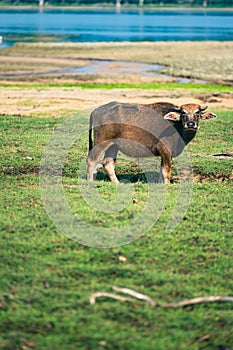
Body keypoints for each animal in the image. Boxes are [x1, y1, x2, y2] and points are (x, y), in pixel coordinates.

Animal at [87, 100, 217, 183]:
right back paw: (90, 181)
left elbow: (161, 170)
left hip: (113, 146)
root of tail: (95, 110)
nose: (191, 124)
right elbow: (166, 171)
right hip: (101, 142)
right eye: (183, 113)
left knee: (108, 163)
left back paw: (117, 183)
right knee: (91, 160)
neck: (176, 126)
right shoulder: (165, 151)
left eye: (197, 113)